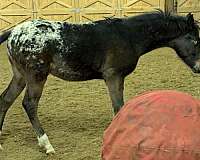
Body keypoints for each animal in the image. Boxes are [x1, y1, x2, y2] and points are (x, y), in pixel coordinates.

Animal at [0, 10, 200, 153]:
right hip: (36, 76)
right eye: (194, 40)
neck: (128, 36)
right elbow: (119, 106)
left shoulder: (116, 77)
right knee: (29, 104)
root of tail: (14, 32)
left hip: (20, 76)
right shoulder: (113, 76)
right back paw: (46, 144)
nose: (198, 67)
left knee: (5, 100)